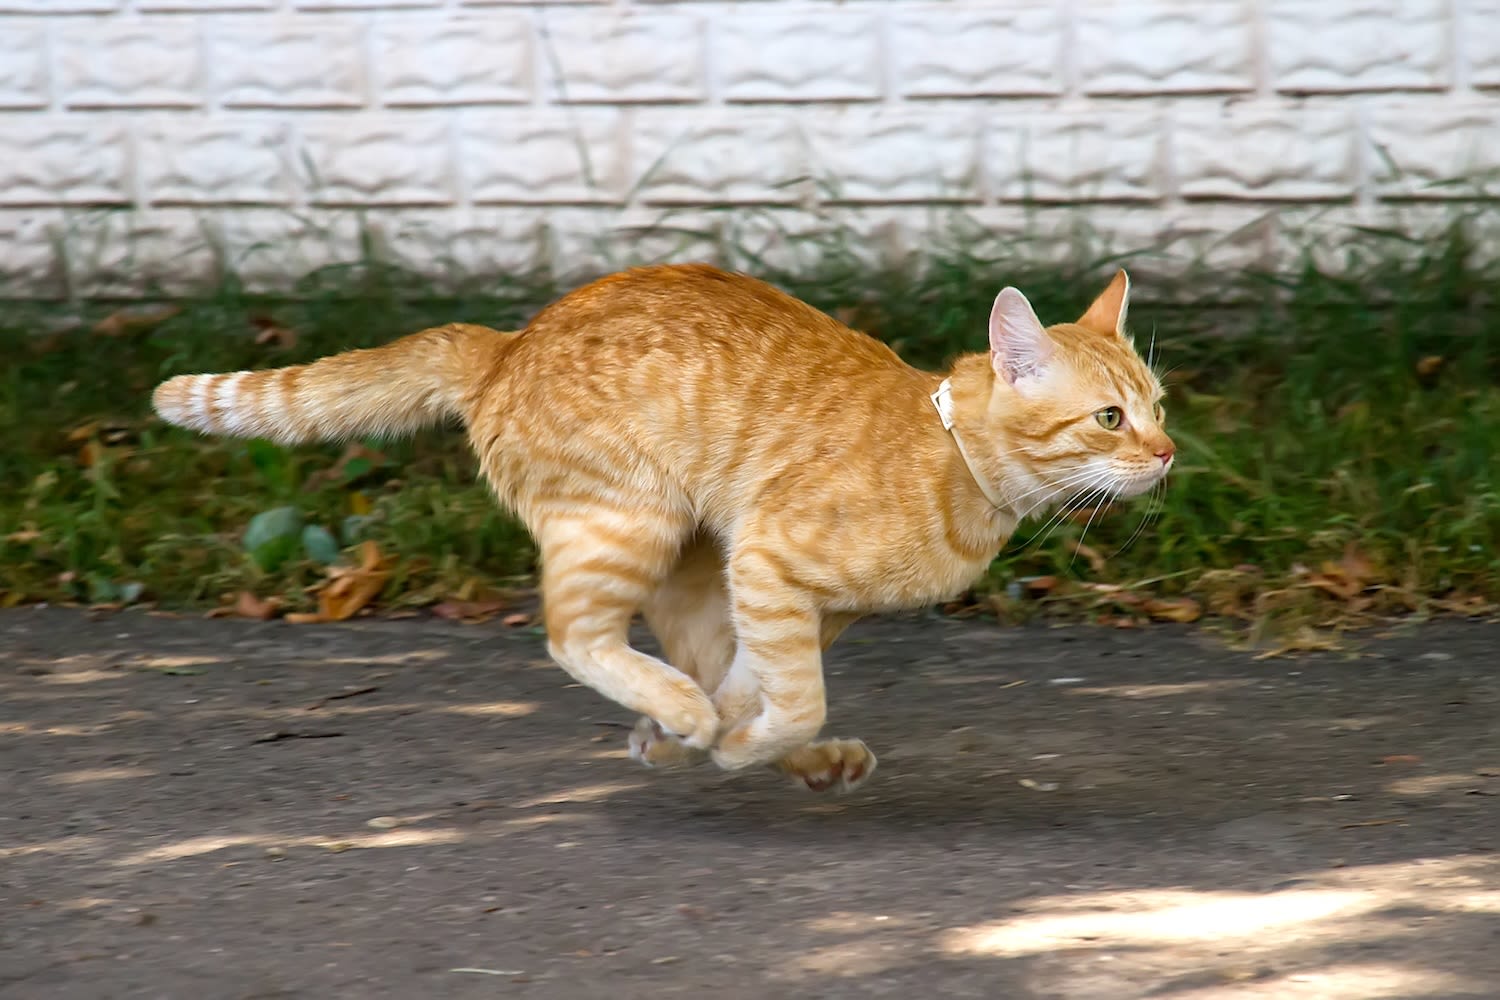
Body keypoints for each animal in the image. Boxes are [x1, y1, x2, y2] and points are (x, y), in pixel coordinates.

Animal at [152, 265, 1170, 797]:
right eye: (1109, 419)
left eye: (1158, 406)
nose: (1167, 454)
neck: (953, 458)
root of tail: (509, 342)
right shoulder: (770, 561)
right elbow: (791, 698)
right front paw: (726, 742)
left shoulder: (790, 603)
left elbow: (762, 684)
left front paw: (719, 741)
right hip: (627, 525)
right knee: (576, 634)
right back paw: (685, 717)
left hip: (691, 563)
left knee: (692, 660)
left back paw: (721, 740)